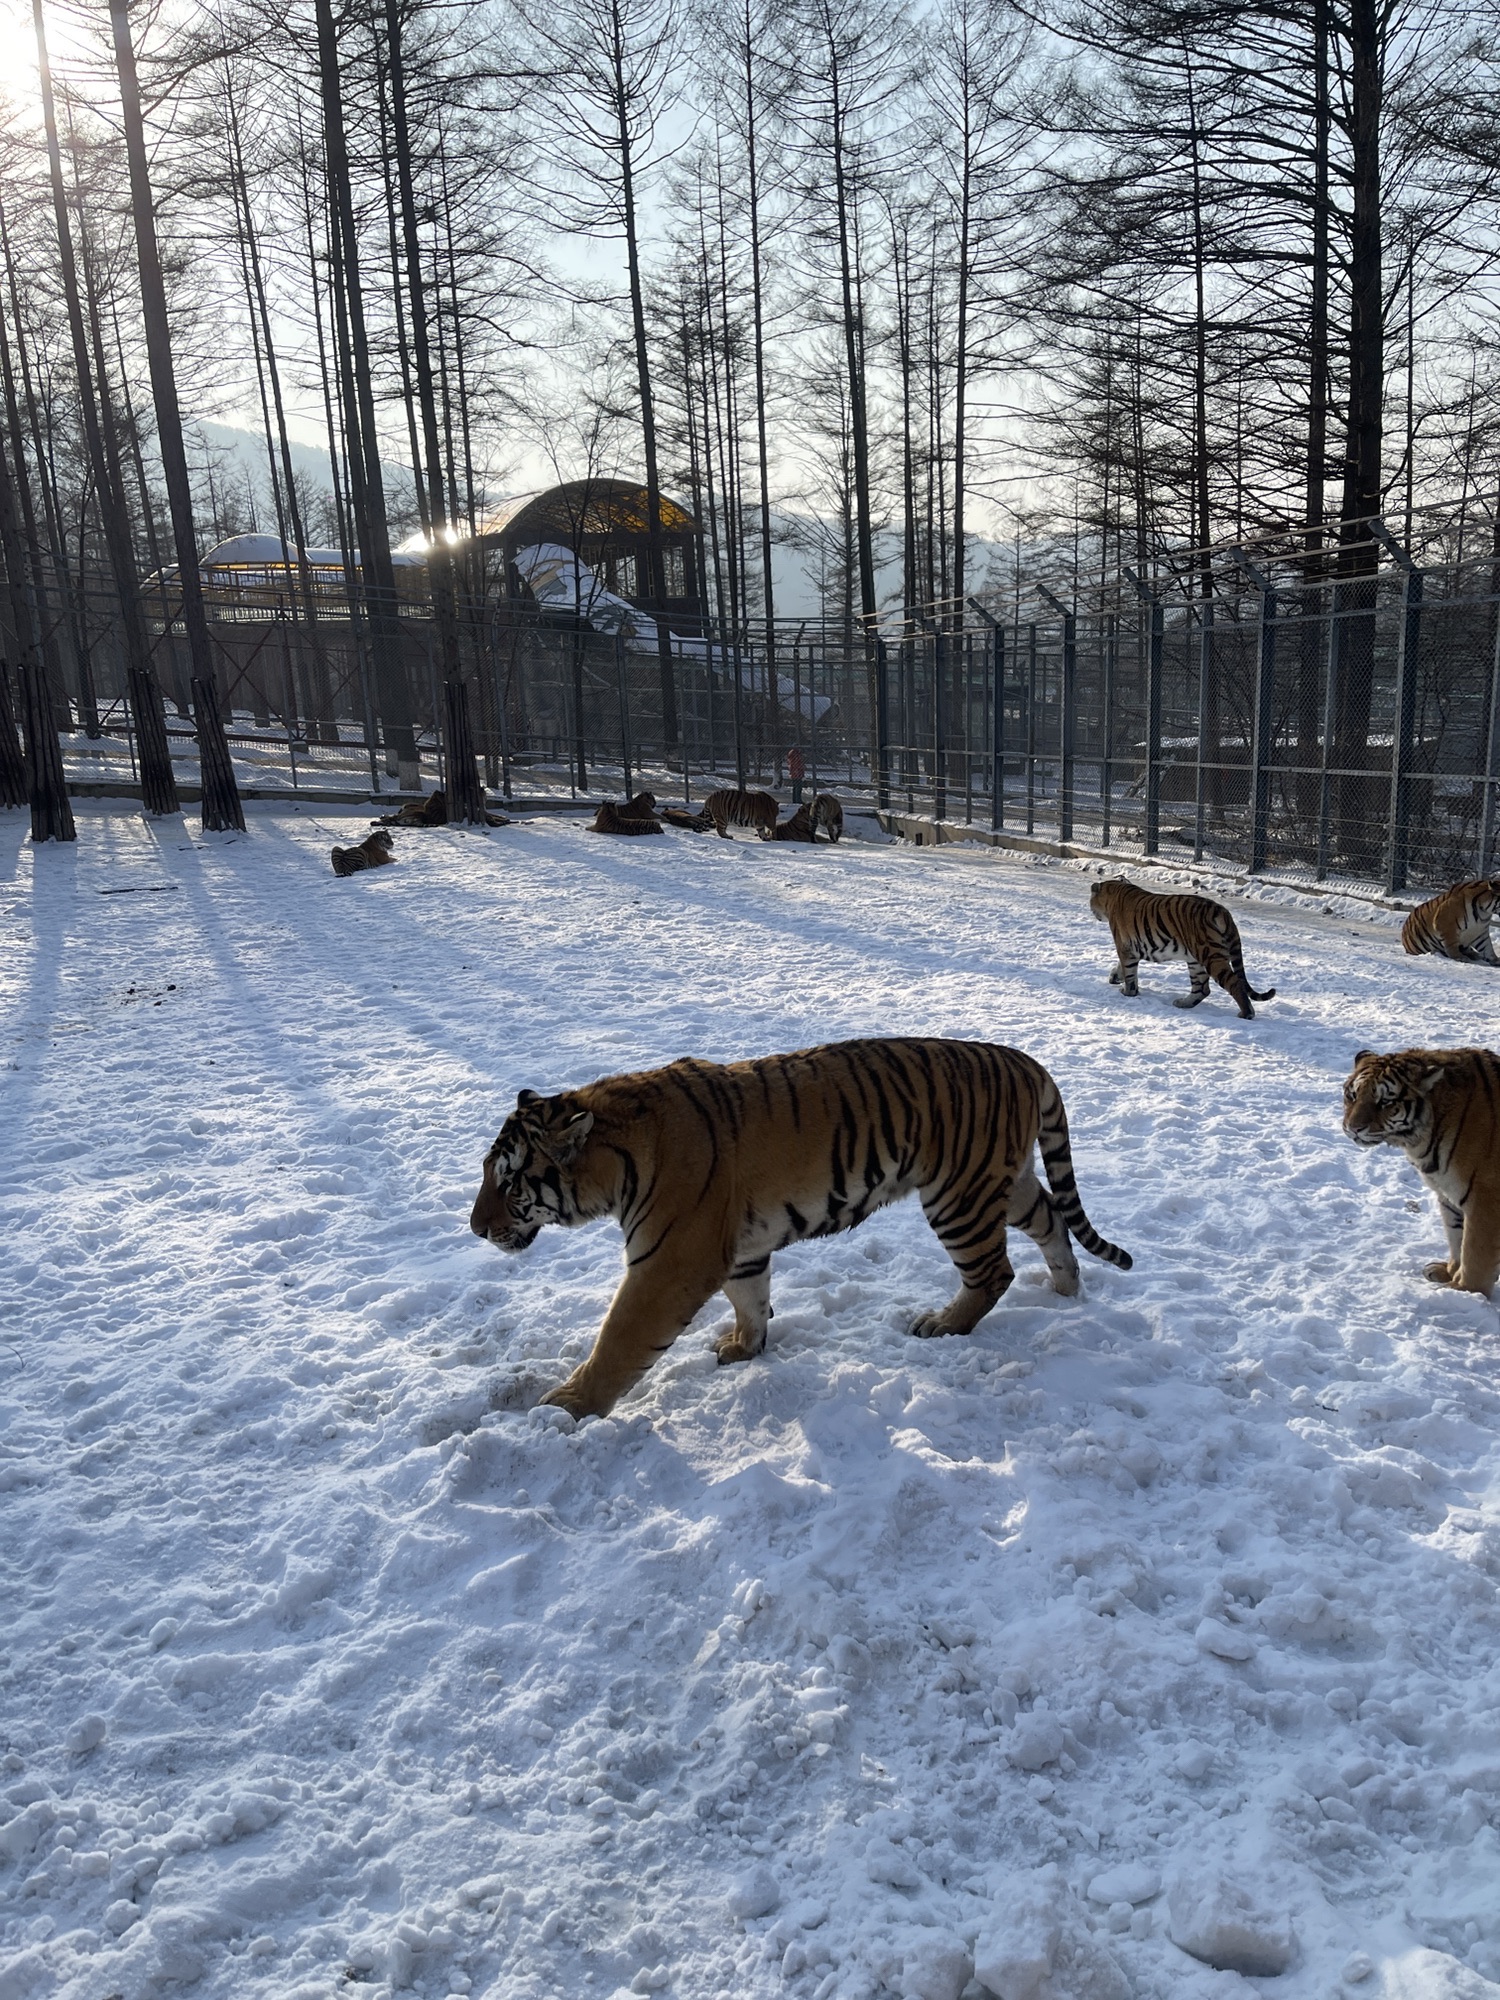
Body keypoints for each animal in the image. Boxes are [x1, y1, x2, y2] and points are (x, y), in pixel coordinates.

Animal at [469, 1036, 1132, 1420]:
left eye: (508, 1181)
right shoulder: (737, 1248)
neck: (615, 1154)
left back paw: (942, 1324)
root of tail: (1023, 1059)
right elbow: (749, 1299)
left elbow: (618, 1340)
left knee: (993, 1271)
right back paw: (1067, 1288)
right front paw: (744, 1347)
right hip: (1002, 1181)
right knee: (1051, 1218)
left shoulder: (668, 1263)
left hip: (958, 1196)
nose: (474, 1228)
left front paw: (566, 1407)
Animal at [1089, 876, 1275, 1019]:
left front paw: (1128, 992)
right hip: (1196, 961)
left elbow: (1129, 973)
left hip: (1210, 955)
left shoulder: (1125, 947)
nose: (1093, 912)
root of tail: (1222, 911)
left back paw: (1246, 1014)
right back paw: (1183, 1003)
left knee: (1234, 983)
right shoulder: (1131, 950)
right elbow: (1121, 966)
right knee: (1202, 989)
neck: (1114, 892)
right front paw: (1114, 977)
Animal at [1342, 1046, 1500, 1296]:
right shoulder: (1447, 1194)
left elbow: (1475, 1251)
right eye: (1353, 1095)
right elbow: (1456, 1237)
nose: (1353, 1128)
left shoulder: (1485, 1198)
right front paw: (1448, 1272)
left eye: (1385, 1101)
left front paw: (1464, 1290)